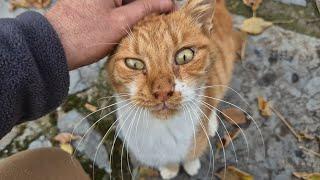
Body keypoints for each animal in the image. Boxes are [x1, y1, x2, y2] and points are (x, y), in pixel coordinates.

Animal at [106, 0, 241, 178]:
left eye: (184, 56)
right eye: (134, 64)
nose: (162, 91)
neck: (164, 130)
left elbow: (193, 152)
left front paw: (191, 165)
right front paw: (170, 169)